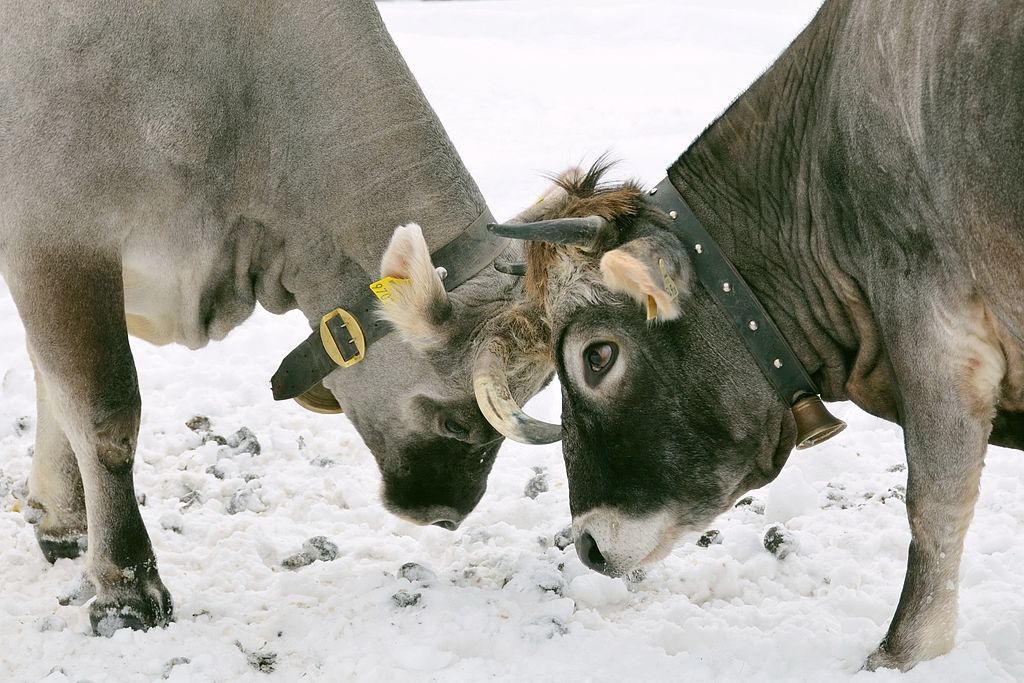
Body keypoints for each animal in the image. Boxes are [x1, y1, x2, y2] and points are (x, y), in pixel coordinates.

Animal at [0, 0, 552, 634]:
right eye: (456, 422)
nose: (447, 513)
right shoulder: (57, 234)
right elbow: (101, 412)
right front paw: (126, 587)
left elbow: (51, 383)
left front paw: (64, 521)